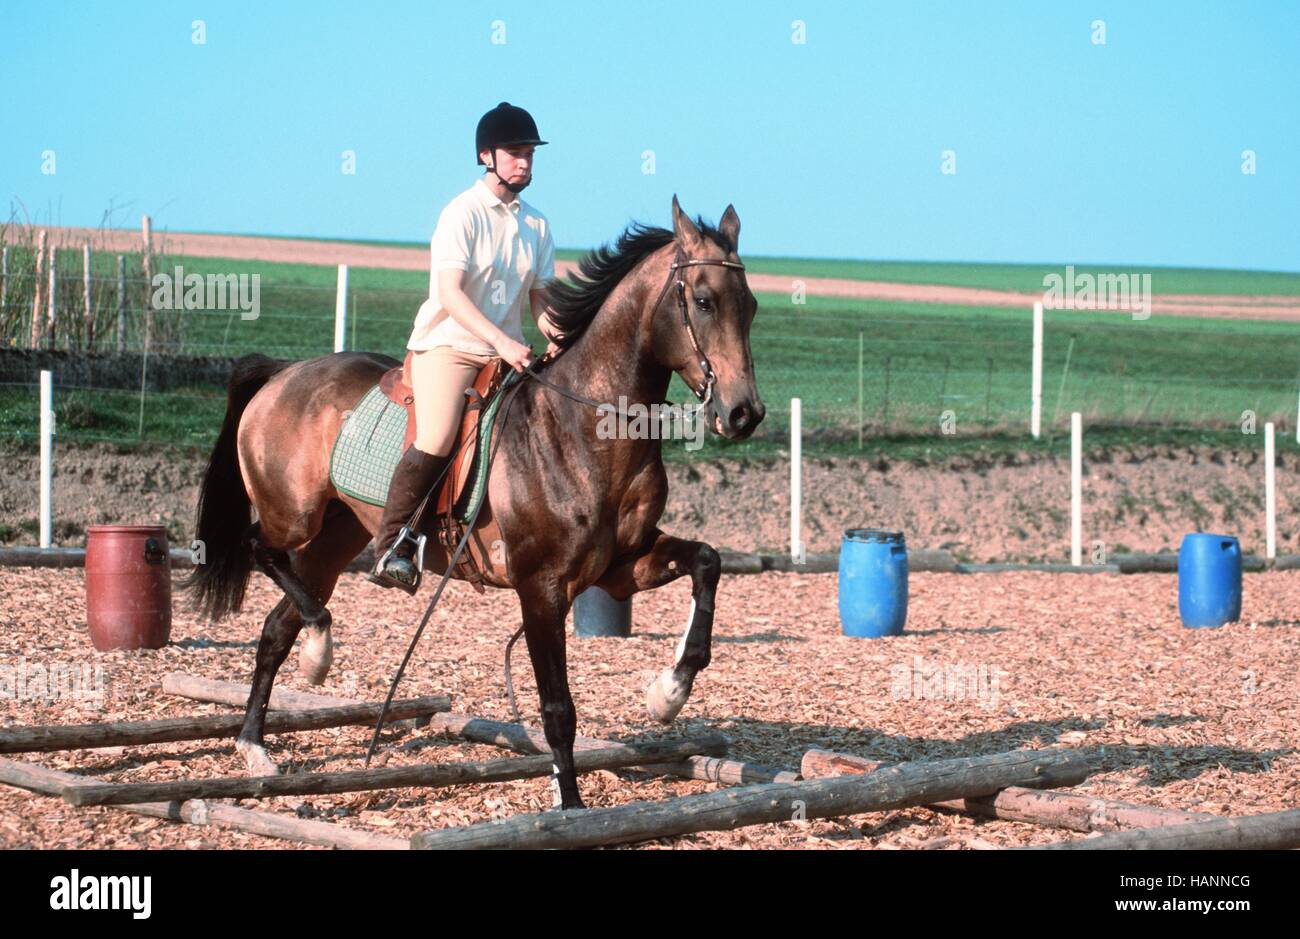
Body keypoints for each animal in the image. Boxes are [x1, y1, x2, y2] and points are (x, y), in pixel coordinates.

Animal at [188, 195, 764, 806]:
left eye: (750, 305)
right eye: (703, 301)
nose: (744, 414)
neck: (585, 427)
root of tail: (286, 371)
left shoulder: (619, 568)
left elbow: (707, 561)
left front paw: (668, 693)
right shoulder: (541, 587)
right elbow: (557, 708)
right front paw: (570, 804)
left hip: (334, 540)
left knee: (277, 627)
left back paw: (257, 741)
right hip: (294, 516)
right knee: (261, 549)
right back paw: (319, 647)